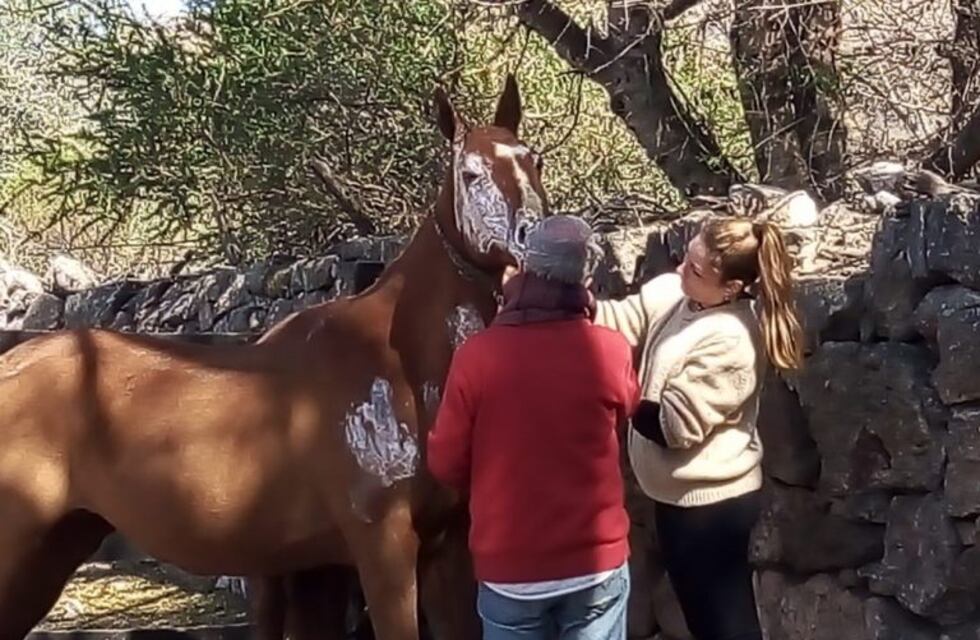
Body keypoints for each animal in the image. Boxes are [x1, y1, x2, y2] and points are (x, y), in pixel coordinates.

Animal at [0, 74, 547, 640]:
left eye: (535, 160)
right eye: (471, 173)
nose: (536, 235)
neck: (397, 364)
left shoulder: (442, 548)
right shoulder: (383, 546)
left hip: (53, 551)